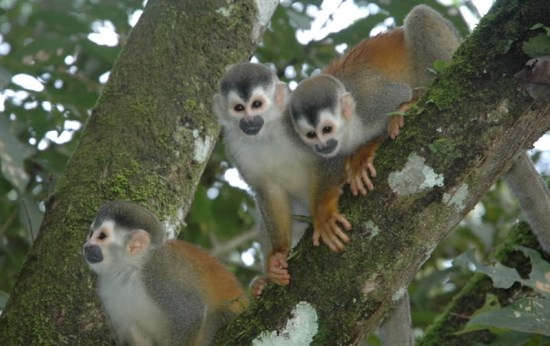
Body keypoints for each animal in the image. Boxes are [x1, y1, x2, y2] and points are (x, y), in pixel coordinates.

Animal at [83, 201, 249, 344]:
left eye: (101, 236)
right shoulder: (106, 290)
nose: (86, 246)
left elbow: (191, 313)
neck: (130, 270)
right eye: (91, 234)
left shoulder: (159, 274)